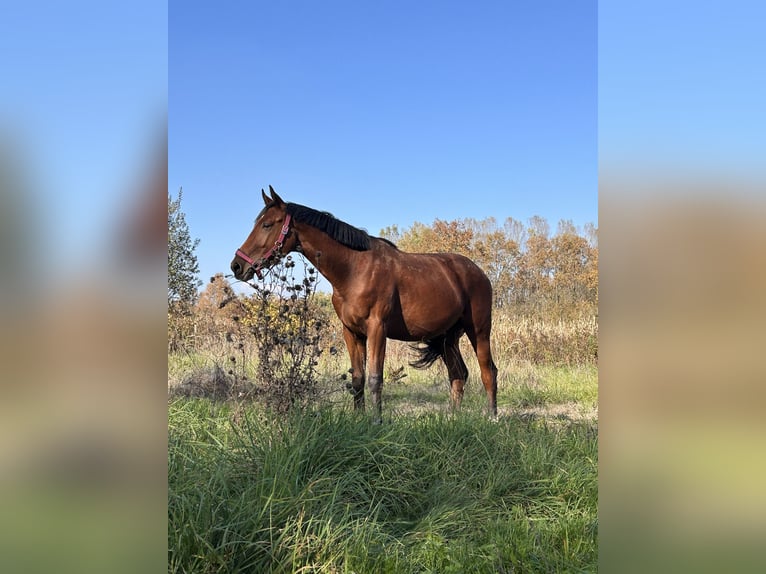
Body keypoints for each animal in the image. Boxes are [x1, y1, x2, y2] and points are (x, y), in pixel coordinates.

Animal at [231, 187, 500, 420]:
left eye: (267, 224)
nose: (237, 266)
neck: (354, 269)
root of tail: (478, 272)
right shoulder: (351, 332)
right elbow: (358, 379)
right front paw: (359, 420)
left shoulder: (377, 329)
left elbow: (375, 378)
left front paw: (376, 422)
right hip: (447, 337)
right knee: (458, 374)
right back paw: (453, 419)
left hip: (479, 331)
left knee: (488, 371)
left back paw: (492, 417)